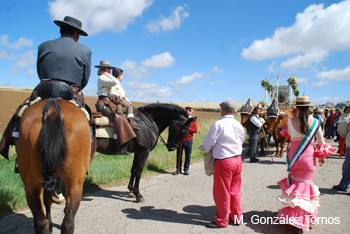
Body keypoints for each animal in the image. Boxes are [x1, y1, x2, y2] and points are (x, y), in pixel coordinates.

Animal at [16, 98, 91, 234]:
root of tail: (52, 109)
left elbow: (47, 201)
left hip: (31, 185)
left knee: (42, 221)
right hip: (75, 184)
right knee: (67, 222)